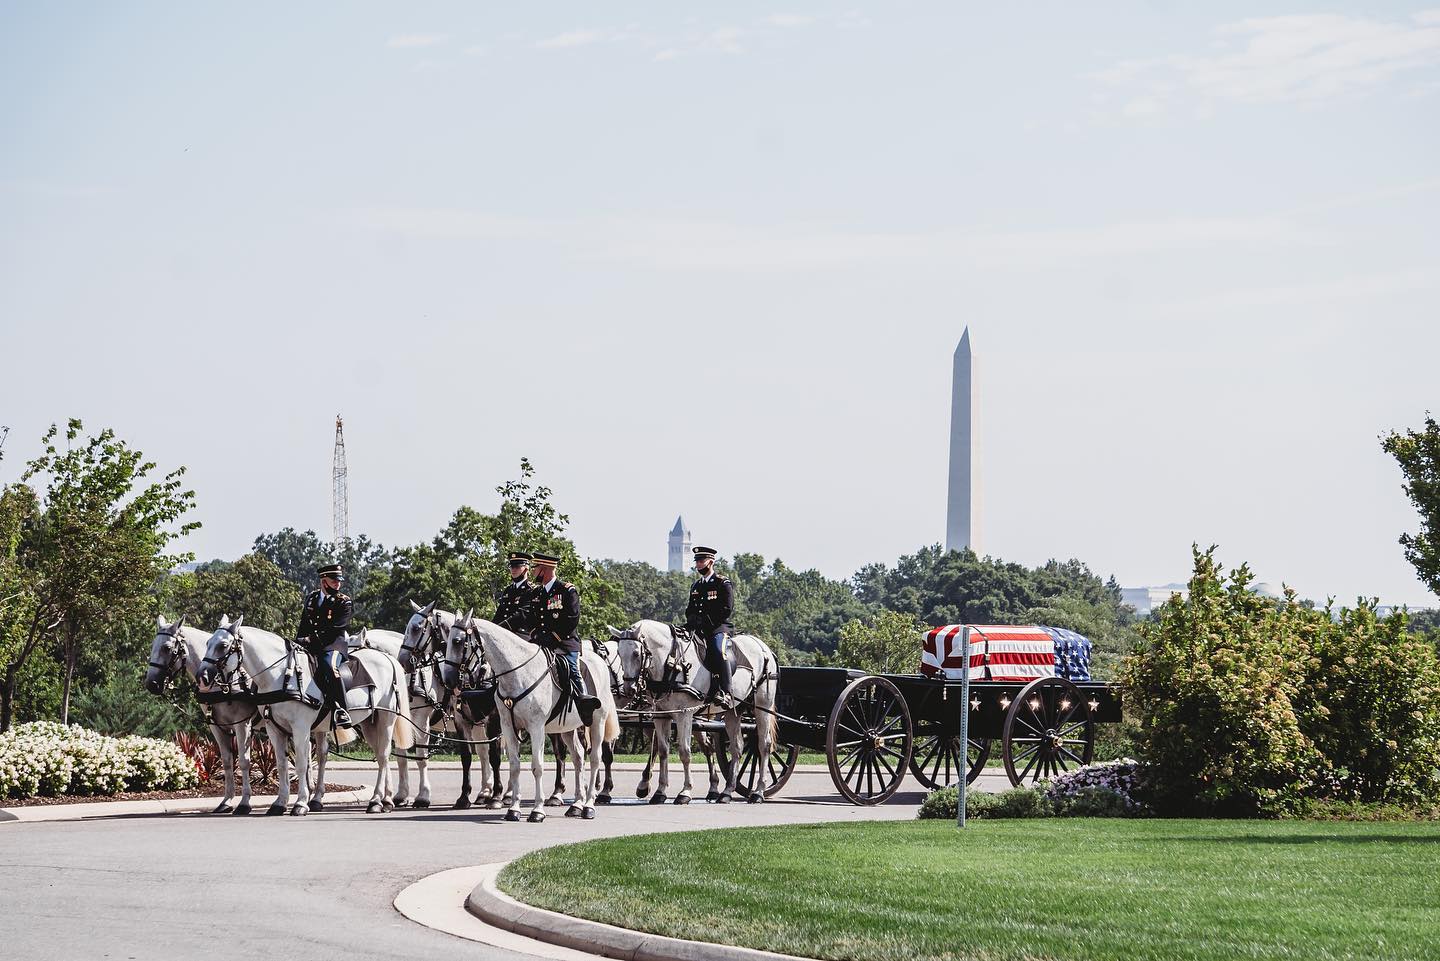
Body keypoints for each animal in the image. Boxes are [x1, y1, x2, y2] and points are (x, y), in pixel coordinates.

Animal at [144, 619, 259, 818]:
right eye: (153, 645)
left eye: (167, 648)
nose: (152, 684)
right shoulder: (217, 726)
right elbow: (227, 761)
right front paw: (226, 802)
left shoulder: (242, 724)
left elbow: (244, 762)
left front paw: (244, 803)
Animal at [200, 619, 411, 818]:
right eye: (208, 642)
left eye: (223, 645)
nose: (203, 676)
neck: (281, 675)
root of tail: (387, 659)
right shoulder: (273, 729)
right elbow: (282, 764)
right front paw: (280, 803)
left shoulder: (298, 728)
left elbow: (301, 764)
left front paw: (300, 803)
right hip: (369, 723)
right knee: (381, 757)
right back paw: (385, 800)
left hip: (386, 719)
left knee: (383, 755)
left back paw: (376, 801)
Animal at [449, 613, 619, 824]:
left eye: (457, 641)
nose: (449, 680)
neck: (518, 673)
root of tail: (600, 662)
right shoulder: (507, 726)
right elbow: (514, 766)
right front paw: (513, 809)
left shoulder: (536, 727)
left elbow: (537, 767)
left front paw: (537, 810)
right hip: (567, 728)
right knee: (579, 758)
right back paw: (576, 806)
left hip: (597, 723)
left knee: (595, 759)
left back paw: (588, 806)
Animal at [613, 625, 783, 806]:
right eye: (619, 653)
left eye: (636, 653)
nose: (629, 689)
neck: (670, 660)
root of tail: (764, 647)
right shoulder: (661, 715)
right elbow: (663, 751)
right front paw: (660, 792)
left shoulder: (685, 714)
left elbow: (684, 752)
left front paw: (685, 792)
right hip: (733, 710)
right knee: (737, 748)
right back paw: (727, 792)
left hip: (762, 705)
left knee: (764, 745)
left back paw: (758, 792)